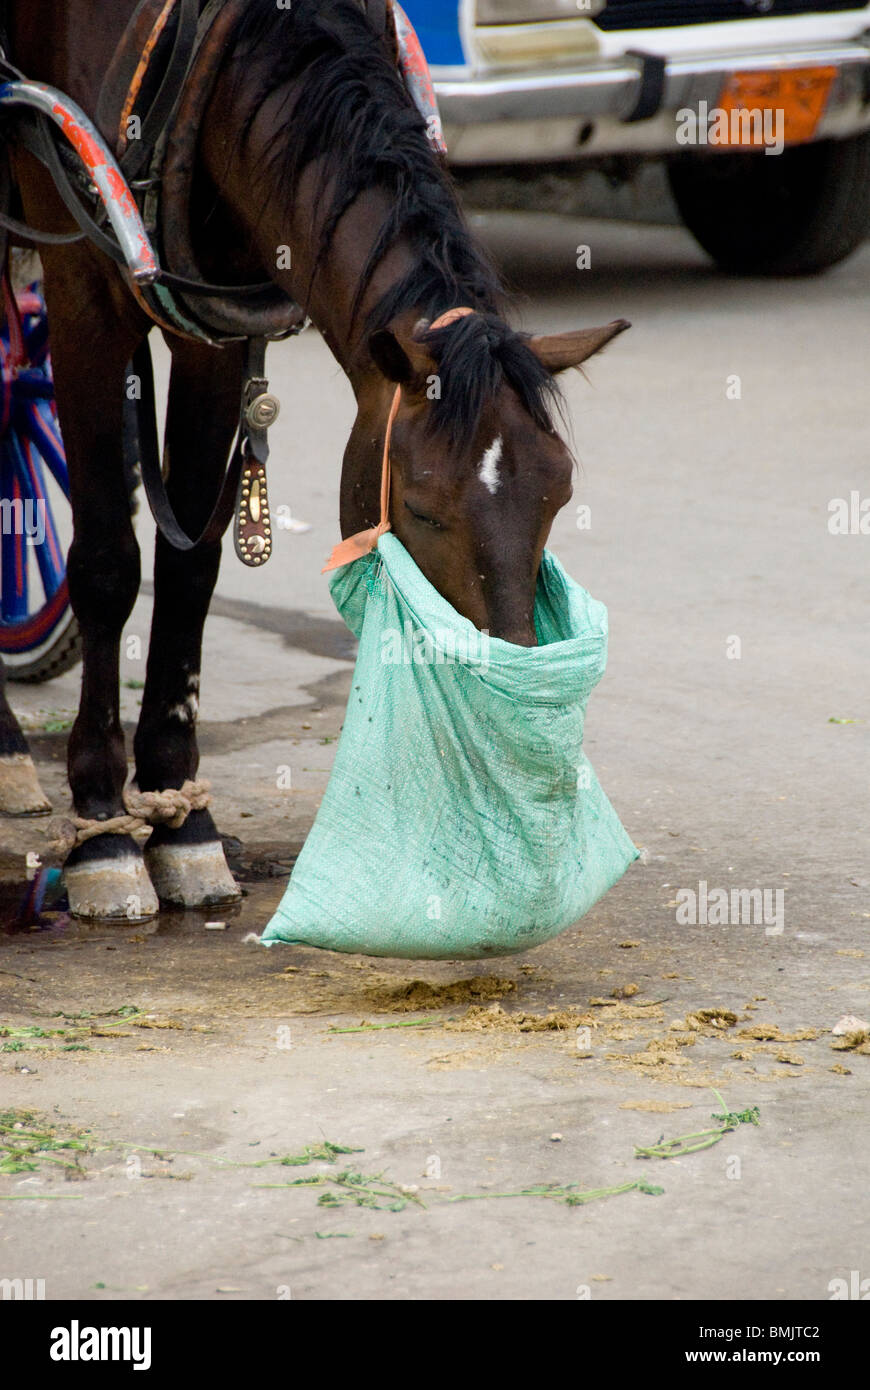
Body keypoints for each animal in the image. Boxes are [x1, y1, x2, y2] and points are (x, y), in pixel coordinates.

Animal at [0, 2, 622, 922]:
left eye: (558, 495)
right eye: (424, 508)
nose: (511, 688)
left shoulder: (212, 328)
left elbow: (191, 568)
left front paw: (182, 819)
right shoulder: (83, 292)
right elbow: (109, 564)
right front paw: (105, 828)